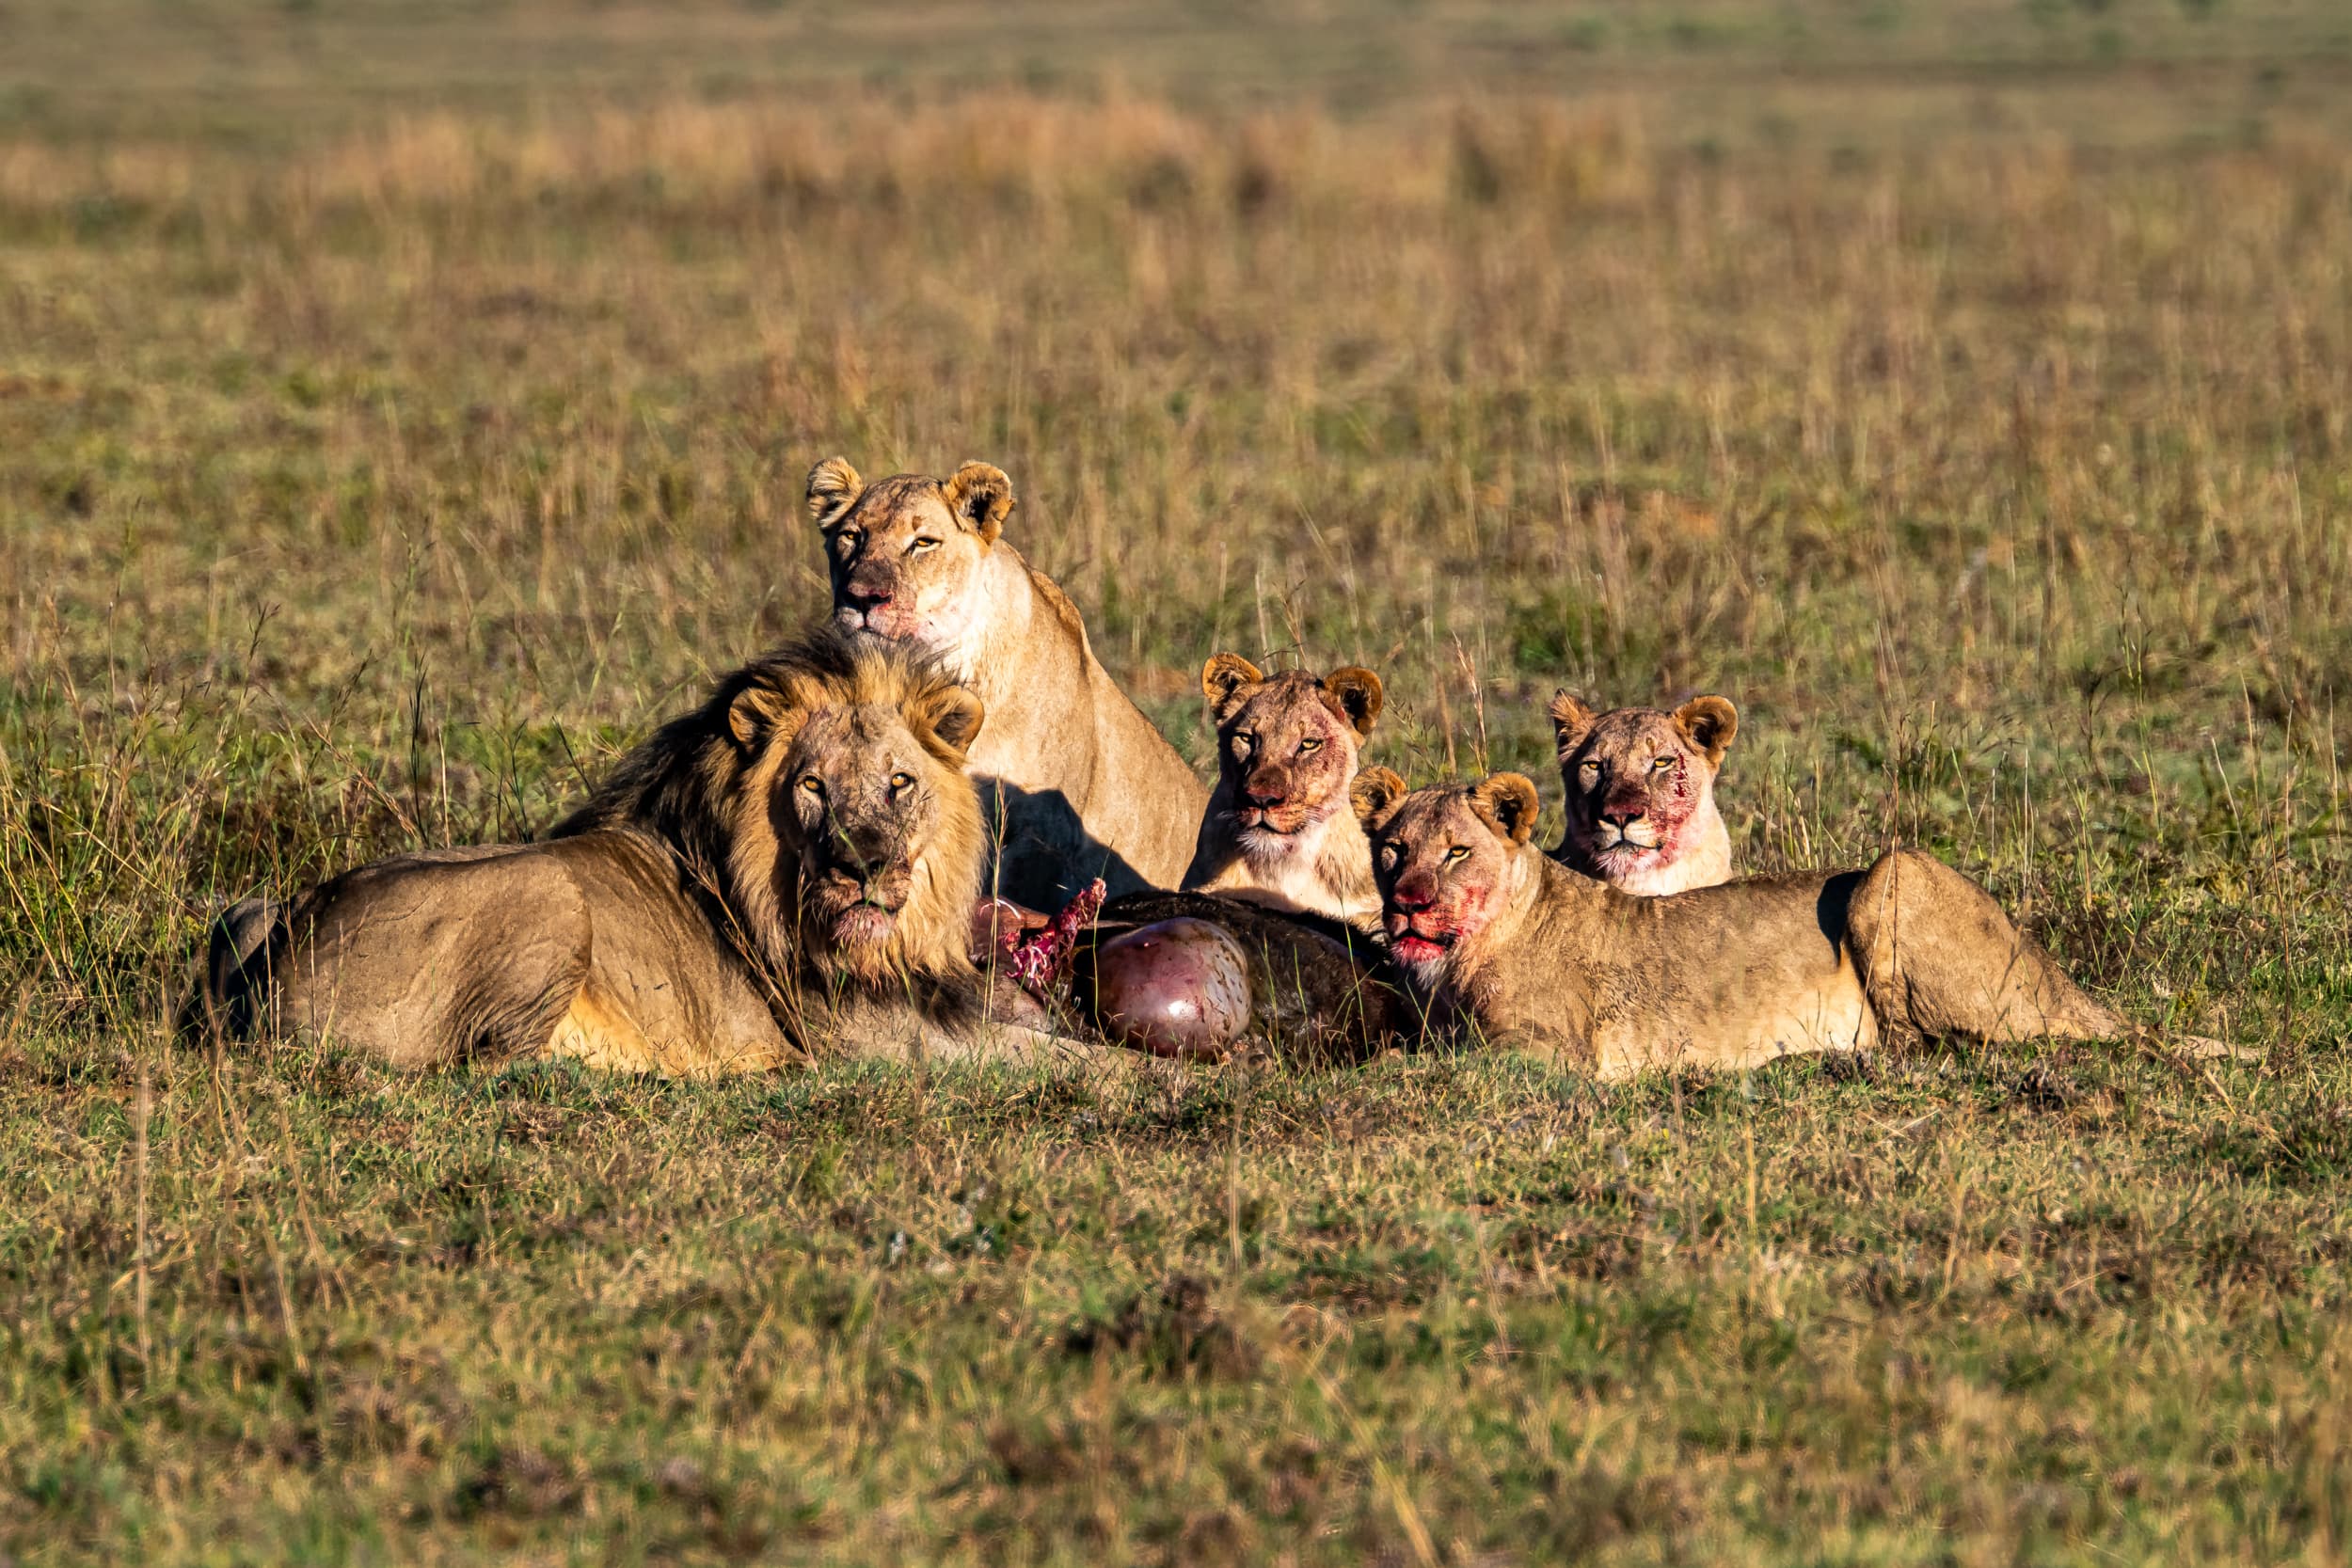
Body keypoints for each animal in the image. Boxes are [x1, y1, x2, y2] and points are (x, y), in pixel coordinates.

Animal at [193, 629, 1068, 1071]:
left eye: (899, 782)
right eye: (814, 786)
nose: (863, 867)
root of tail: (272, 967)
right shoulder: (880, 1043)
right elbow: (1061, 1060)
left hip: (244, 908)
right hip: (546, 891)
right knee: (498, 1063)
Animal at [1364, 770, 2183, 1081]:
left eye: (1457, 850)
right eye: (1393, 849)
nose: (1407, 900)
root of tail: (2062, 979)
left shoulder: (1553, 1052)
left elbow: (1443, 1060)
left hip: (1891, 874)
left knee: (1940, 1046)